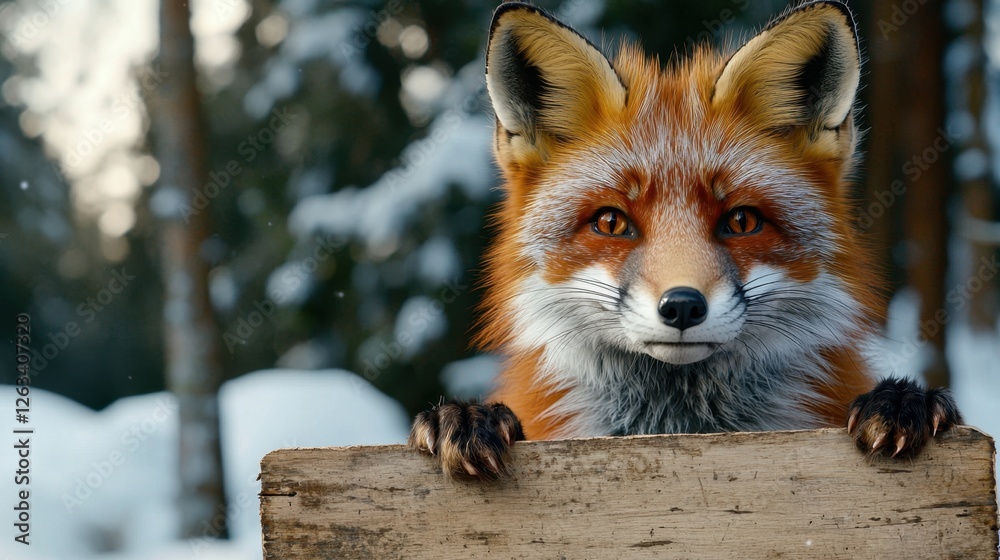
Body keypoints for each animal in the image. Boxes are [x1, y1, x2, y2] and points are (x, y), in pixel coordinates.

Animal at [409, 0, 962, 480]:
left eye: (741, 221)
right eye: (611, 223)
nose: (681, 306)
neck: (680, 428)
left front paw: (900, 400)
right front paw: (468, 418)